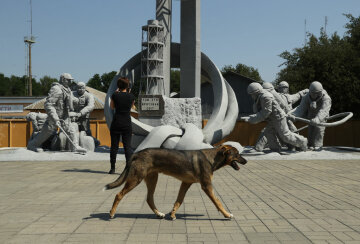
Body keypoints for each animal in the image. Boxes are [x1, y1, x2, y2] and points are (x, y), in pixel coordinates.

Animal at [102, 144, 246, 220]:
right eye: (237, 154)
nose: (245, 161)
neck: (212, 158)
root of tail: (137, 153)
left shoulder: (185, 183)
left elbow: (178, 201)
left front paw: (172, 214)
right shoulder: (206, 186)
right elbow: (218, 202)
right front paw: (227, 214)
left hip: (152, 179)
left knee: (149, 198)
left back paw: (159, 213)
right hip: (136, 179)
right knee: (119, 195)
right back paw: (112, 213)